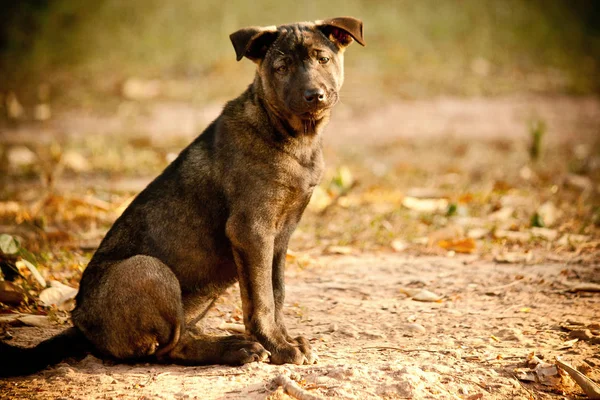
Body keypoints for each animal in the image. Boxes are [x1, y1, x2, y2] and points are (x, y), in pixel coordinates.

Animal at [0, 15, 364, 376]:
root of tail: (80, 325)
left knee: (182, 337)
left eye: (322, 59)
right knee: (169, 349)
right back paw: (237, 349)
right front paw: (279, 347)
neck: (292, 136)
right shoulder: (251, 230)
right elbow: (261, 301)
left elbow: (276, 293)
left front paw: (284, 339)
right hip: (148, 269)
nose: (314, 95)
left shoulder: (280, 237)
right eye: (282, 67)